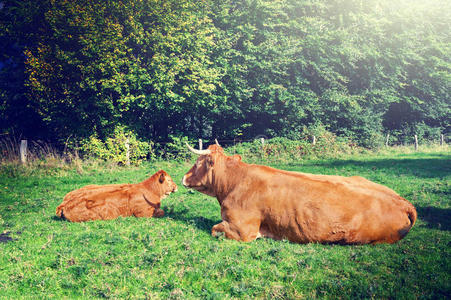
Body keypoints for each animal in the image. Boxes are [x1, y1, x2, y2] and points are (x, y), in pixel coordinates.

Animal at [183, 143, 416, 244]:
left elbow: (214, 229)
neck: (234, 182)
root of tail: (403, 202)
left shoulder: (242, 230)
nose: (184, 177)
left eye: (198, 162)